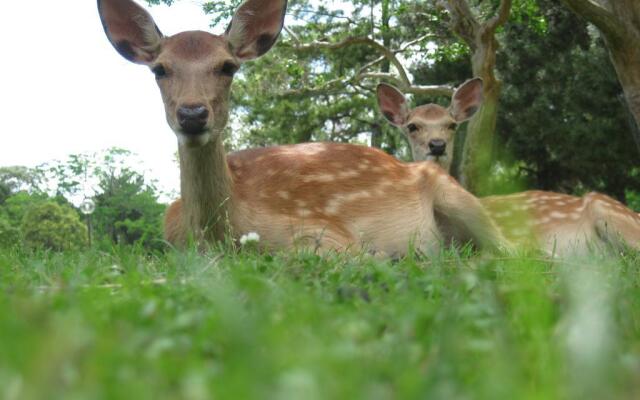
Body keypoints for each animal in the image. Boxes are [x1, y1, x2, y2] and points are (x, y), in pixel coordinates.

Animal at [97, 0, 512, 256]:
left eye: (227, 66)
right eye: (160, 69)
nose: (193, 114)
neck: (222, 235)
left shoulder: (324, 227)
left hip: (460, 198)